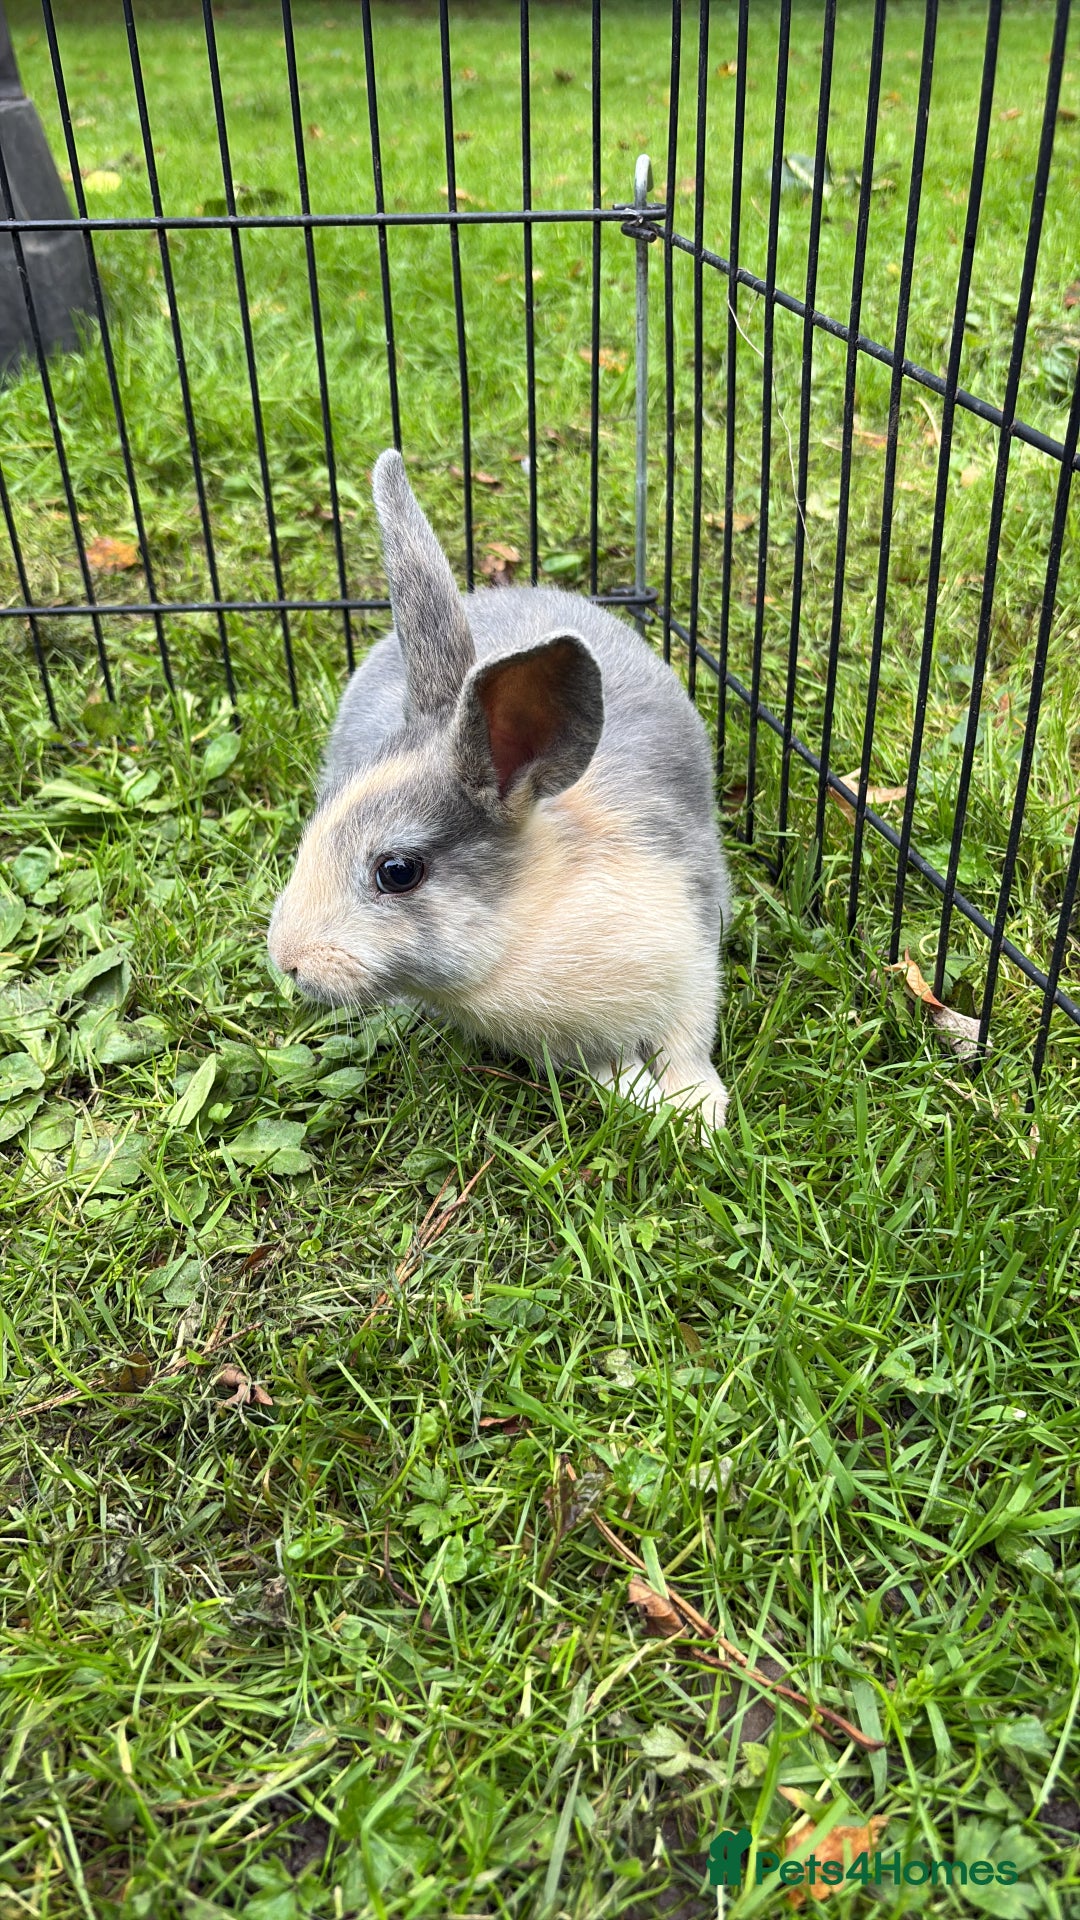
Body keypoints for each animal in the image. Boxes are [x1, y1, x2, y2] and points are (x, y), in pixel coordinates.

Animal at [267, 450, 733, 1128]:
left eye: (397, 872)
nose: (287, 960)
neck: (527, 923)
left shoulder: (696, 955)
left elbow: (687, 1044)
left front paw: (698, 1114)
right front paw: (642, 1099)